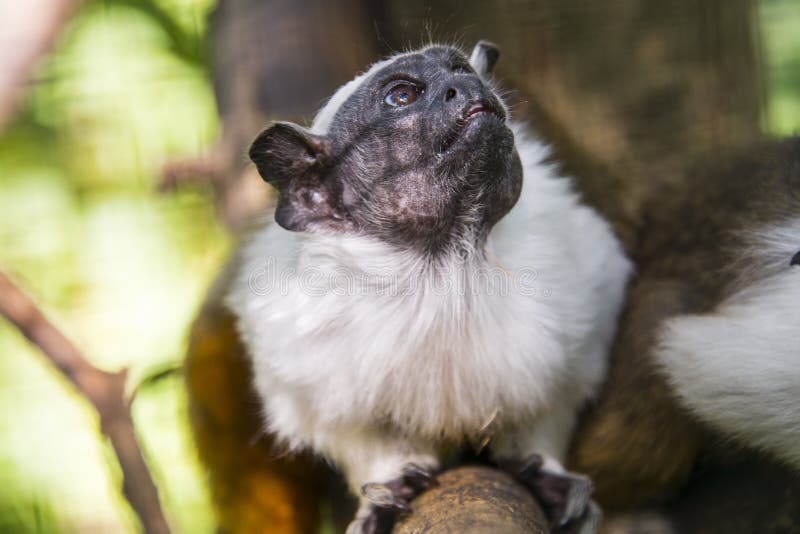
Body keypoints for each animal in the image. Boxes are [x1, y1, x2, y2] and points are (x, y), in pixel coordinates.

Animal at [184, 45, 800, 534]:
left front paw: (541, 469)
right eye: (403, 96)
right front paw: (387, 485)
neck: (444, 267)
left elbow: (550, 403)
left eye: (461, 71)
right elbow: (355, 433)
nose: (468, 88)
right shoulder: (301, 349)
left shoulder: (577, 301)